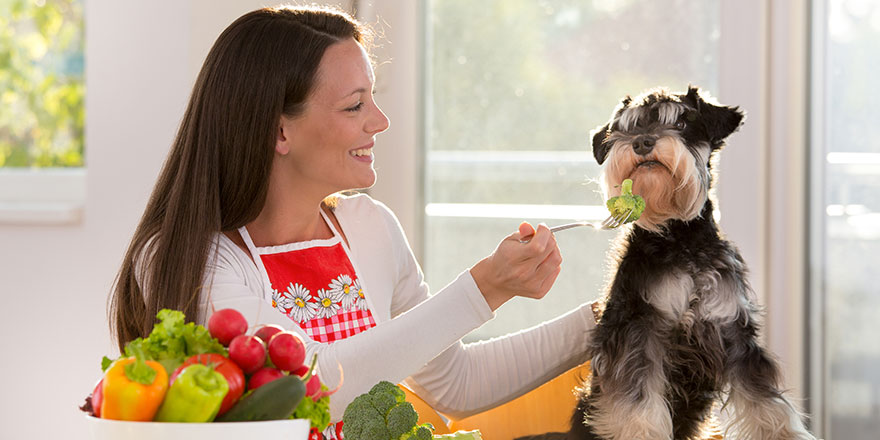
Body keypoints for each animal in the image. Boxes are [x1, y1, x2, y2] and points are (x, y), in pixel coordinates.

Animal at [520, 87, 816, 440]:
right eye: (625, 127)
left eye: (682, 121)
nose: (642, 142)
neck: (680, 239)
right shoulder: (639, 328)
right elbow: (638, 404)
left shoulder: (732, 328)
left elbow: (765, 403)